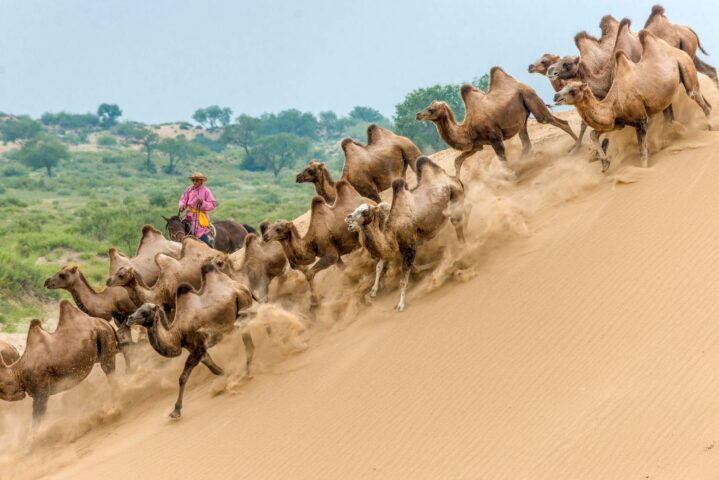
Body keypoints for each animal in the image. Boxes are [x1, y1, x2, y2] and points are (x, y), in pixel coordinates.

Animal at [125, 260, 255, 418]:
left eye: (144, 312)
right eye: (137, 309)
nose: (129, 318)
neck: (177, 332)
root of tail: (241, 286)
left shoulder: (198, 346)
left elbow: (183, 377)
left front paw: (176, 411)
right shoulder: (193, 347)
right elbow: (213, 367)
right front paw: (224, 378)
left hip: (243, 307)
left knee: (249, 343)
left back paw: (247, 373)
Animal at [264, 178, 376, 306]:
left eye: (278, 228)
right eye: (269, 227)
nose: (265, 236)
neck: (311, 242)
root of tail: (372, 202)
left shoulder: (330, 254)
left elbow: (309, 274)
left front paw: (314, 302)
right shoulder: (336, 256)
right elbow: (344, 269)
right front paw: (356, 283)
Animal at [346, 157, 470, 312]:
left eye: (364, 211)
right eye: (354, 210)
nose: (348, 218)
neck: (390, 229)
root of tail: (452, 178)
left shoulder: (410, 247)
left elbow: (403, 279)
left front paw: (400, 304)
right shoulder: (398, 248)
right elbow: (384, 266)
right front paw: (373, 291)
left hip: (455, 196)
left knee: (459, 221)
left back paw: (463, 250)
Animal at [414, 67, 576, 178]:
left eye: (431, 109)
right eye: (428, 106)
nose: (418, 115)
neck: (467, 128)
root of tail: (521, 84)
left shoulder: (494, 138)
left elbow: (501, 159)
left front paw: (510, 176)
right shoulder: (477, 145)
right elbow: (458, 161)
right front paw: (458, 183)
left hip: (531, 100)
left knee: (559, 122)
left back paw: (577, 146)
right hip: (521, 119)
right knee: (526, 142)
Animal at [556, 29, 712, 171]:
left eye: (573, 90)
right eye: (564, 87)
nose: (556, 96)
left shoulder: (641, 120)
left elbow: (642, 153)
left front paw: (642, 169)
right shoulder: (618, 122)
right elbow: (594, 133)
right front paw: (605, 164)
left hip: (686, 67)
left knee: (697, 98)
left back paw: (709, 126)